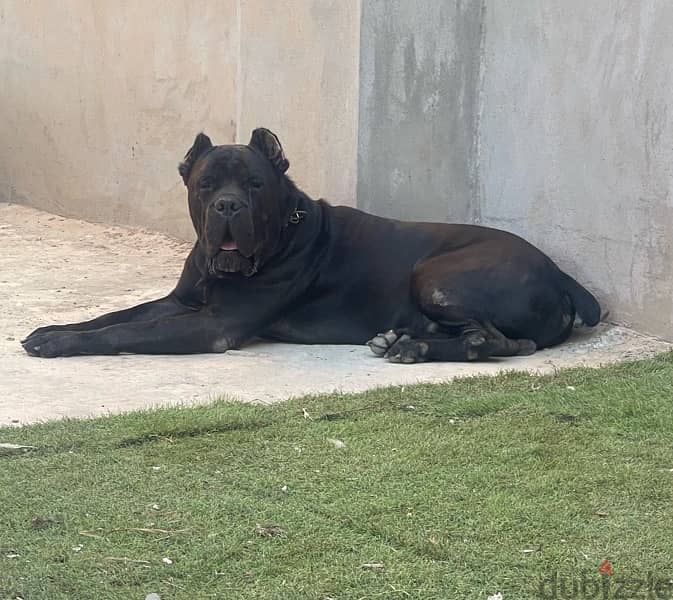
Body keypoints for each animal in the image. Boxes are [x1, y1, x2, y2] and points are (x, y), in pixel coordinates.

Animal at [19, 127, 600, 360]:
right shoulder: (179, 301)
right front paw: (54, 329)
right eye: (206, 185)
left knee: (497, 341)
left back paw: (414, 348)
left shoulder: (213, 324)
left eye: (254, 185)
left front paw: (60, 345)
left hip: (435, 274)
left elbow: (130, 332)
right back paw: (403, 340)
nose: (227, 207)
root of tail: (562, 274)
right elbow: (116, 316)